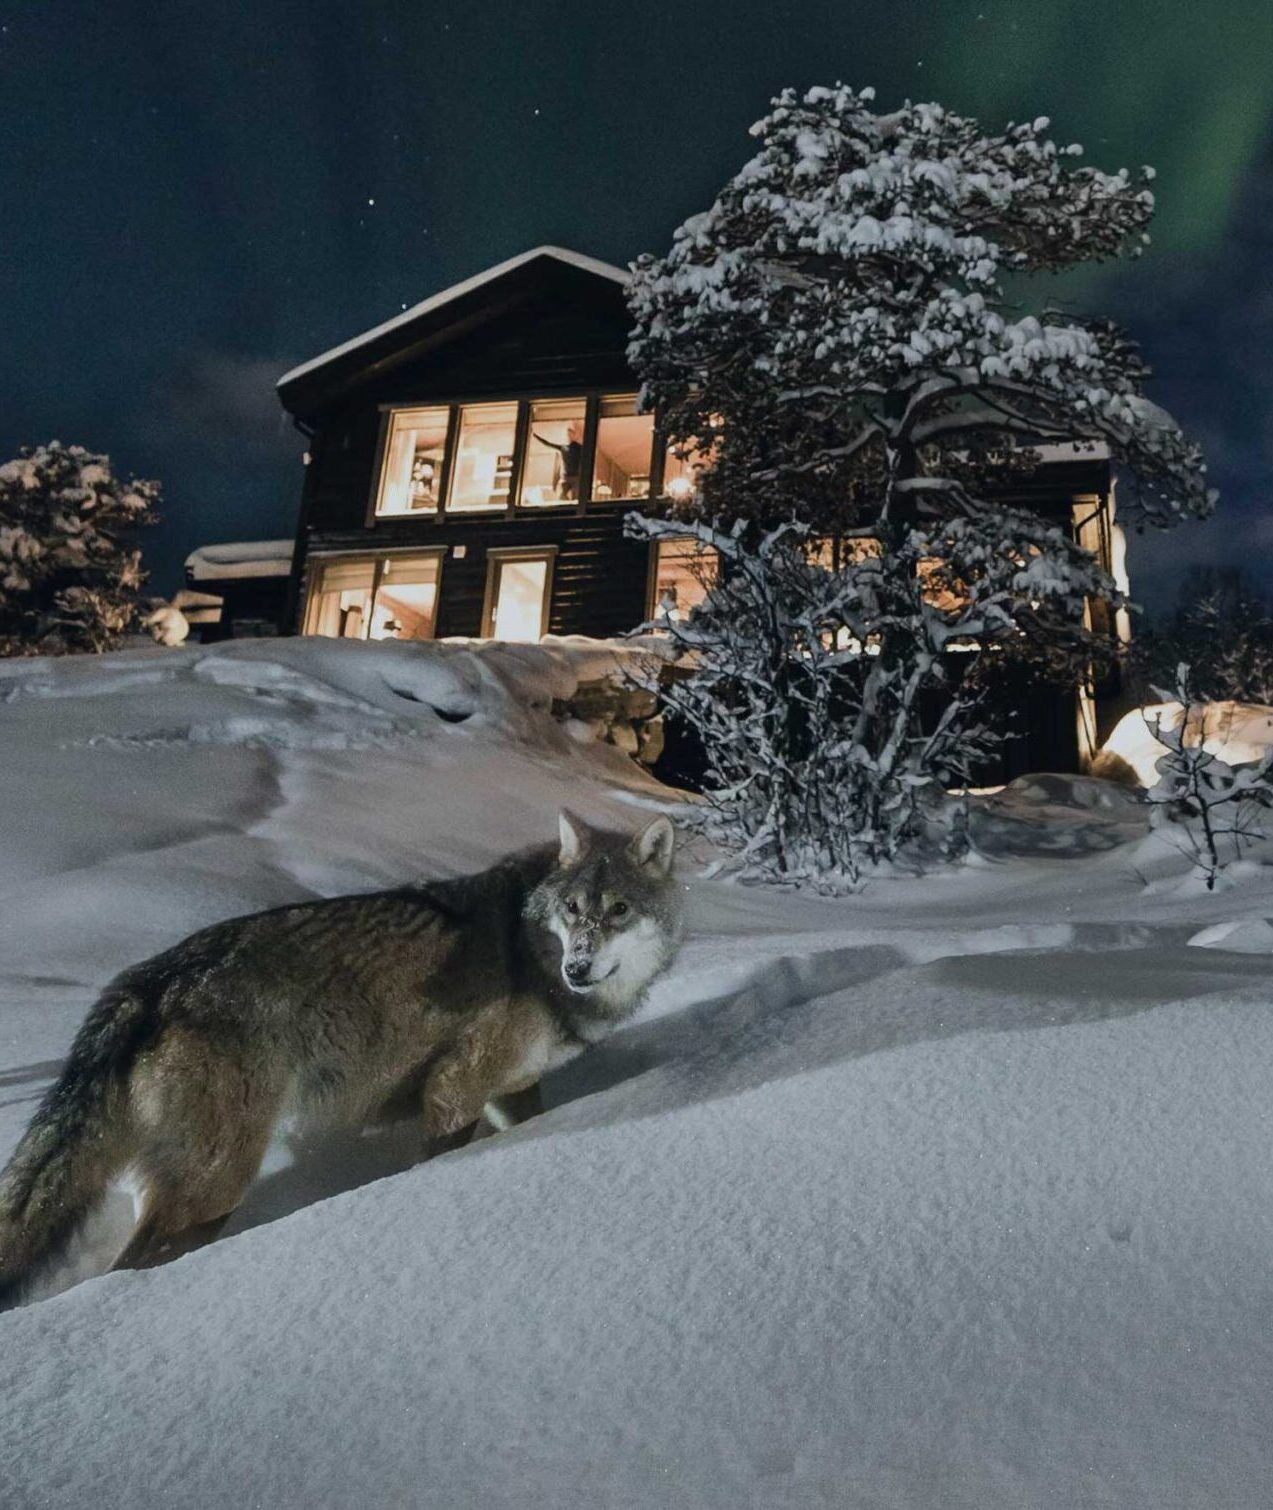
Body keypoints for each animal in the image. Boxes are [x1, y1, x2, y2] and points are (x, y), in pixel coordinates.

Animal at [0, 810, 681, 1307]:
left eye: (619, 910)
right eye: (573, 910)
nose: (578, 967)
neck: (529, 948)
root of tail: (147, 982)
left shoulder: (510, 1091)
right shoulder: (453, 1089)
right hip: (215, 1186)